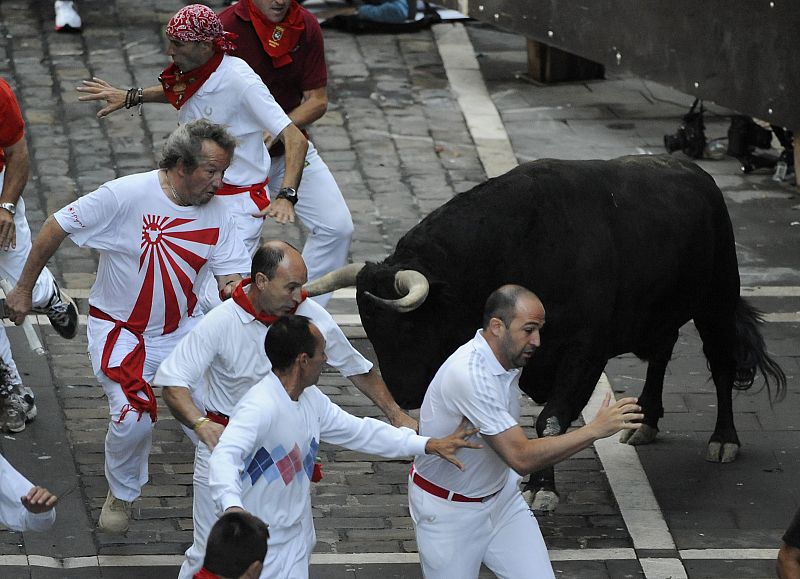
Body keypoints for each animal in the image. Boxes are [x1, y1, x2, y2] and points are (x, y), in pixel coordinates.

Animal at [306, 155, 788, 512]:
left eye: (408, 323)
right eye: (368, 324)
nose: (403, 396)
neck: (519, 243)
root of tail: (697, 174)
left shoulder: (584, 350)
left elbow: (550, 421)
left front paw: (542, 487)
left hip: (716, 302)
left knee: (721, 365)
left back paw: (723, 439)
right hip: (661, 313)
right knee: (663, 353)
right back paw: (647, 420)